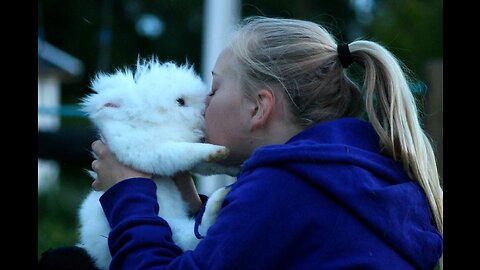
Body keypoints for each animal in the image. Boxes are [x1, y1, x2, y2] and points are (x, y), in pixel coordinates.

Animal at [76, 57, 238, 270]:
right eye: (180, 102)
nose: (204, 112)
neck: (151, 124)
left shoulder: (190, 163)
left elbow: (210, 166)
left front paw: (235, 165)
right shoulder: (150, 150)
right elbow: (186, 151)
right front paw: (218, 150)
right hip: (170, 226)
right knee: (196, 237)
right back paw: (220, 198)